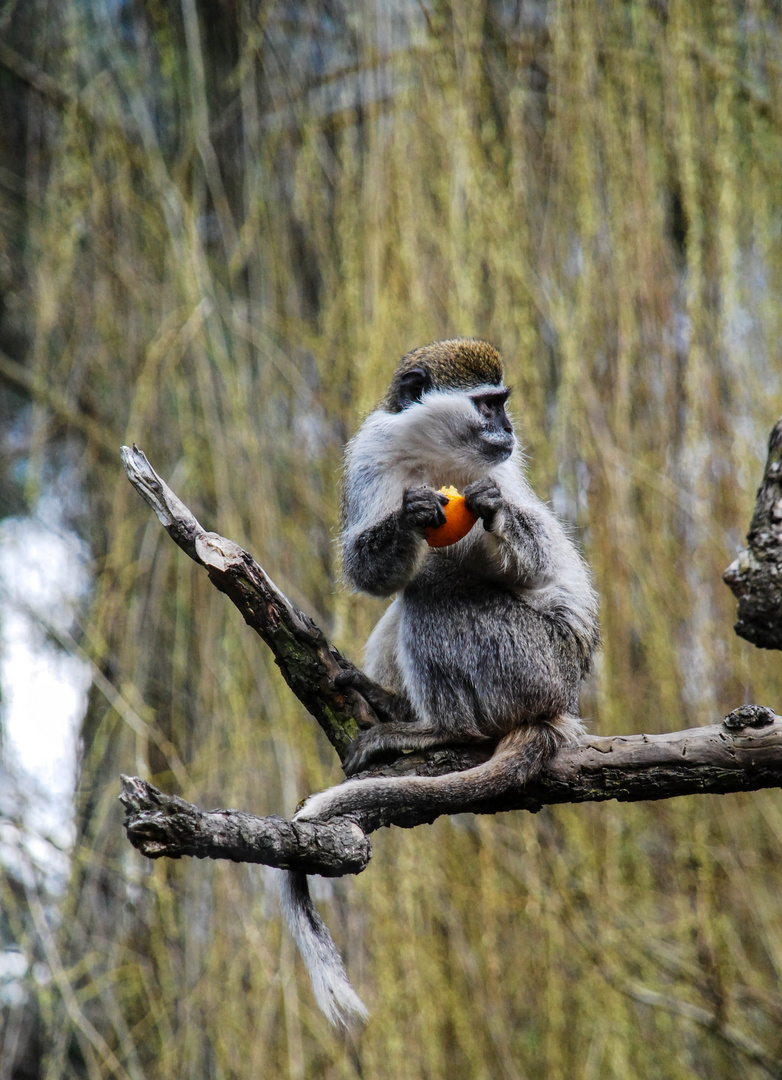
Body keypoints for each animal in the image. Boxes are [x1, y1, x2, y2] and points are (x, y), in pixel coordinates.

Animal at [280, 339, 600, 1028]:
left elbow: (532, 555)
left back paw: (434, 730)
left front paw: (494, 514)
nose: (508, 430)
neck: (434, 453)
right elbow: (370, 572)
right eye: (488, 405)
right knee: (414, 584)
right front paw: (410, 519)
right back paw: (391, 703)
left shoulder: (501, 474)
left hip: (529, 662)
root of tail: (559, 706)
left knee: (436, 583)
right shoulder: (370, 453)